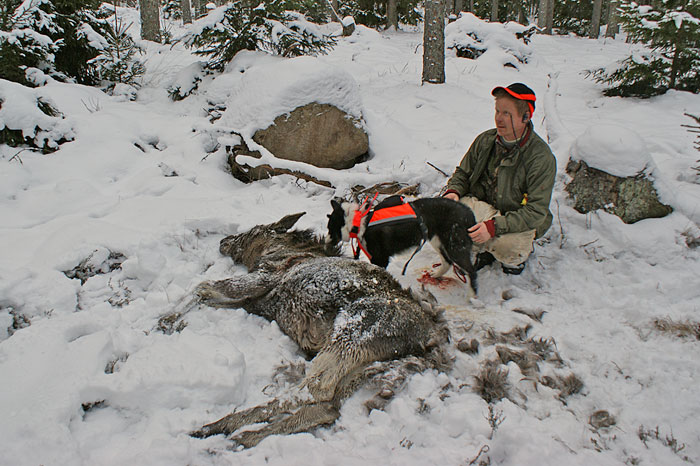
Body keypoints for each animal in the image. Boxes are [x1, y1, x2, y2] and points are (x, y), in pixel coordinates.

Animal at [189, 213, 452, 450]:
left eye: (251, 231)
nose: (224, 240)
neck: (273, 250)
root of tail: (431, 338)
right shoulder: (254, 302)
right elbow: (209, 297)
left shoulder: (261, 279)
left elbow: (201, 288)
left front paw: (177, 321)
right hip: (364, 366)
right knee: (327, 407)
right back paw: (241, 436)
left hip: (350, 335)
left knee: (312, 391)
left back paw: (224, 426)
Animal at [326, 197, 478, 294]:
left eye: (330, 228)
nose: (325, 245)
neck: (360, 221)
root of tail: (469, 213)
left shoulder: (380, 259)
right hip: (438, 241)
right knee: (447, 262)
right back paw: (435, 275)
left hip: (455, 246)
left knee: (471, 271)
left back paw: (472, 298)